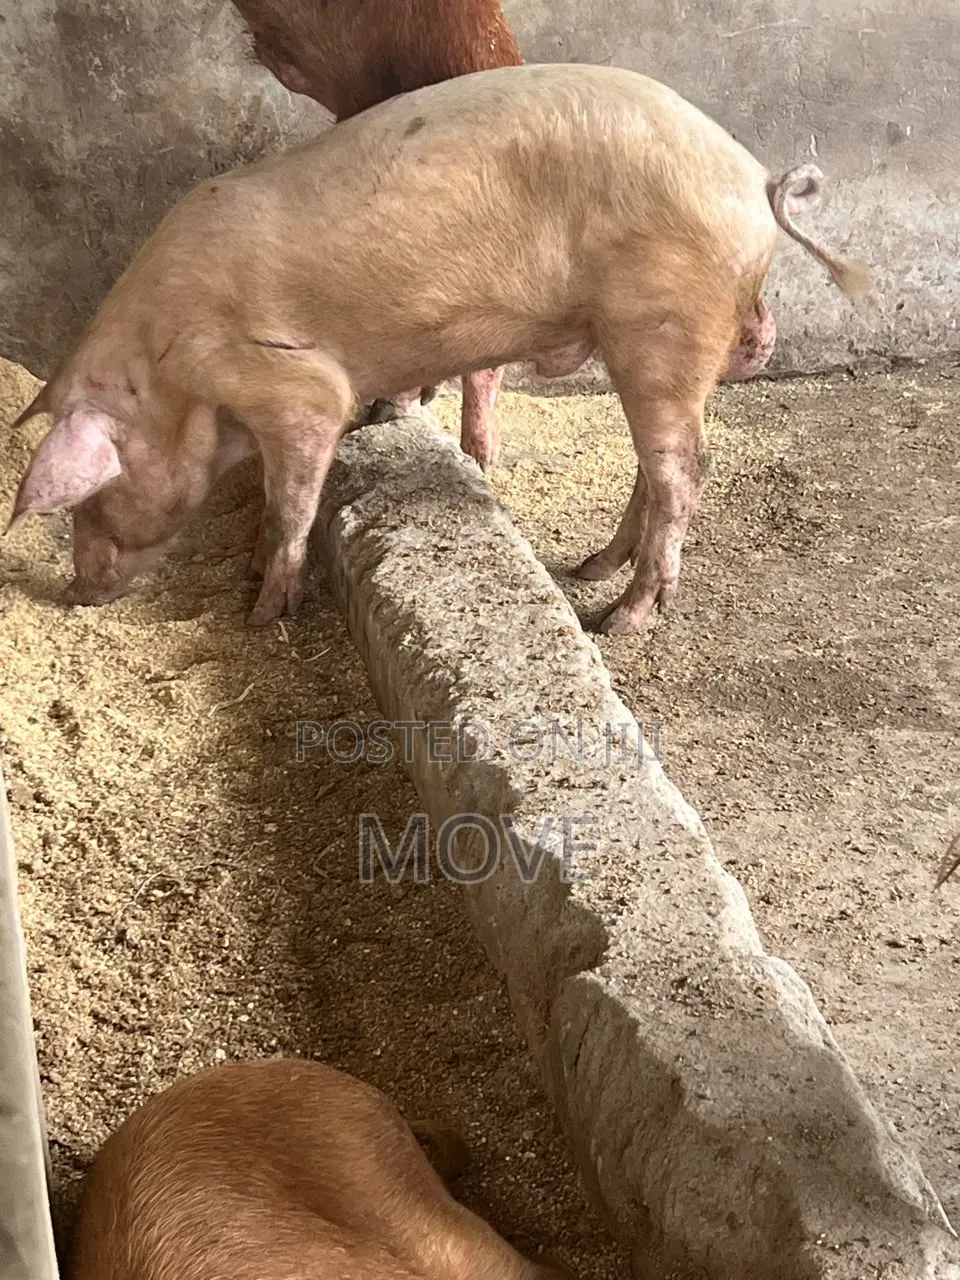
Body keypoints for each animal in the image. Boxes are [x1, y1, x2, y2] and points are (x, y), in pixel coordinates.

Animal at [7, 63, 872, 635]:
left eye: (87, 498)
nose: (76, 593)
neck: (171, 379)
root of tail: (755, 179)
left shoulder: (296, 388)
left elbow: (290, 501)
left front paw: (262, 612)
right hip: (653, 343)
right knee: (658, 464)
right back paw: (593, 566)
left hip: (665, 321)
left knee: (685, 469)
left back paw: (617, 618)